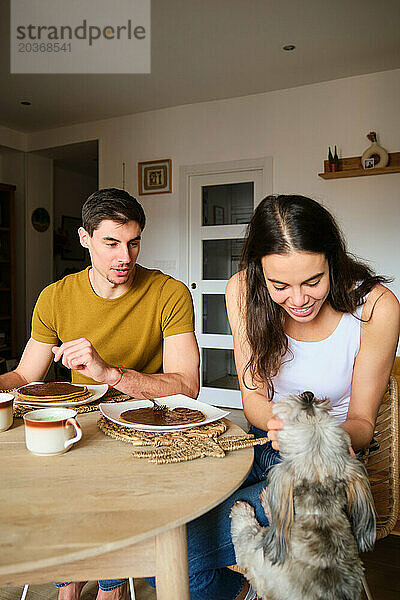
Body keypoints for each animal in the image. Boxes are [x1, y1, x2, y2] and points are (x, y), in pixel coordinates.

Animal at [230, 394, 376, 600]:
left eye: (297, 418)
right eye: (322, 411)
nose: (309, 396)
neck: (319, 513)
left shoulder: (254, 557)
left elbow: (246, 532)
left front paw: (242, 509)